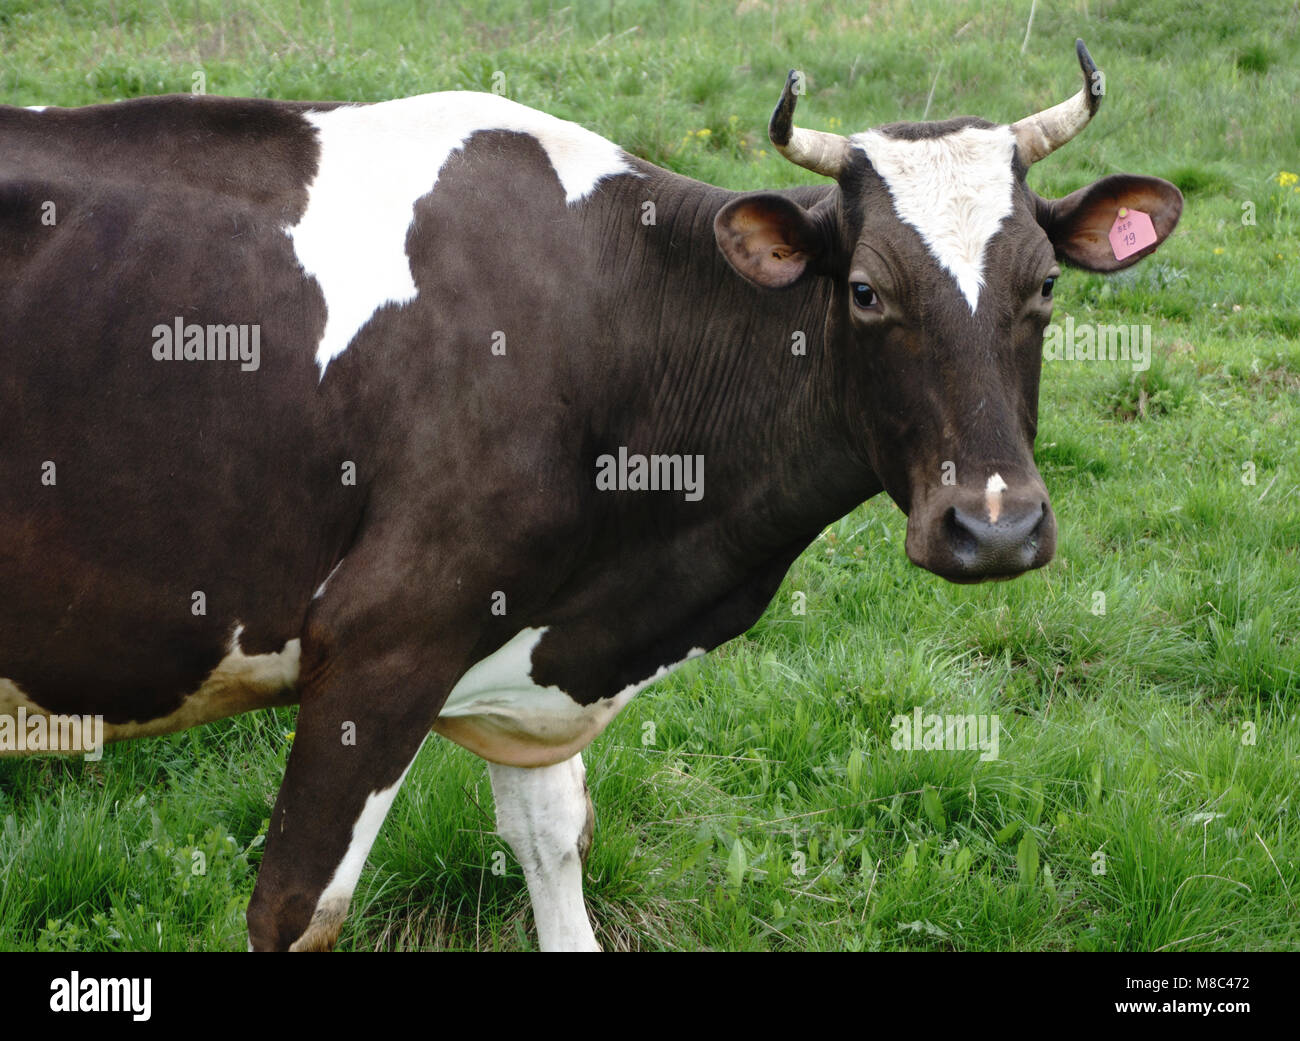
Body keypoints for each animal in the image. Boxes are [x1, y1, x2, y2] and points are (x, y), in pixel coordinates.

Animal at [0, 39, 1181, 951]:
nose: (996, 528)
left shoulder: (525, 648)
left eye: (1046, 285)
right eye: (863, 291)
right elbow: (297, 910)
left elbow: (554, 847)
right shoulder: (379, 642)